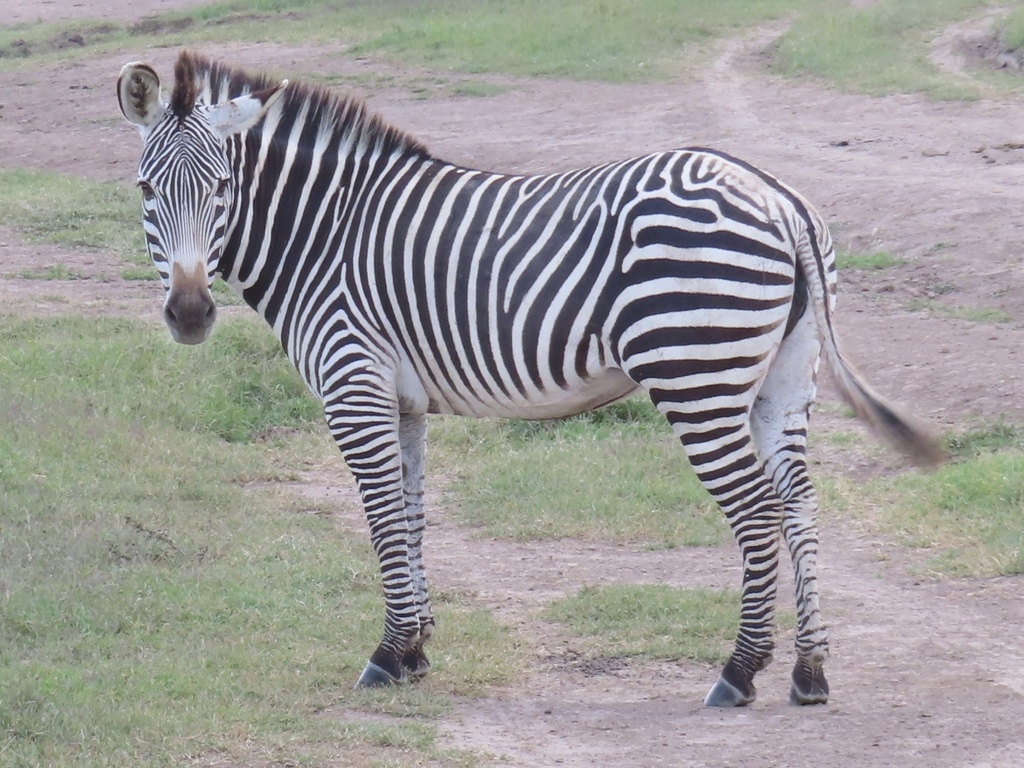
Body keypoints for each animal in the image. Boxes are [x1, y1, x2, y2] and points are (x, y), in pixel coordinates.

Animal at [117, 50, 942, 708]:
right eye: (146, 190)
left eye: (223, 186)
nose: (189, 314)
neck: (324, 236)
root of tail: (776, 195)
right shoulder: (402, 400)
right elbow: (412, 515)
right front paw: (417, 648)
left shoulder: (354, 385)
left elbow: (380, 518)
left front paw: (386, 655)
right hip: (785, 378)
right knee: (800, 502)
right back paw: (810, 672)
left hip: (695, 376)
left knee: (756, 508)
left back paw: (739, 672)